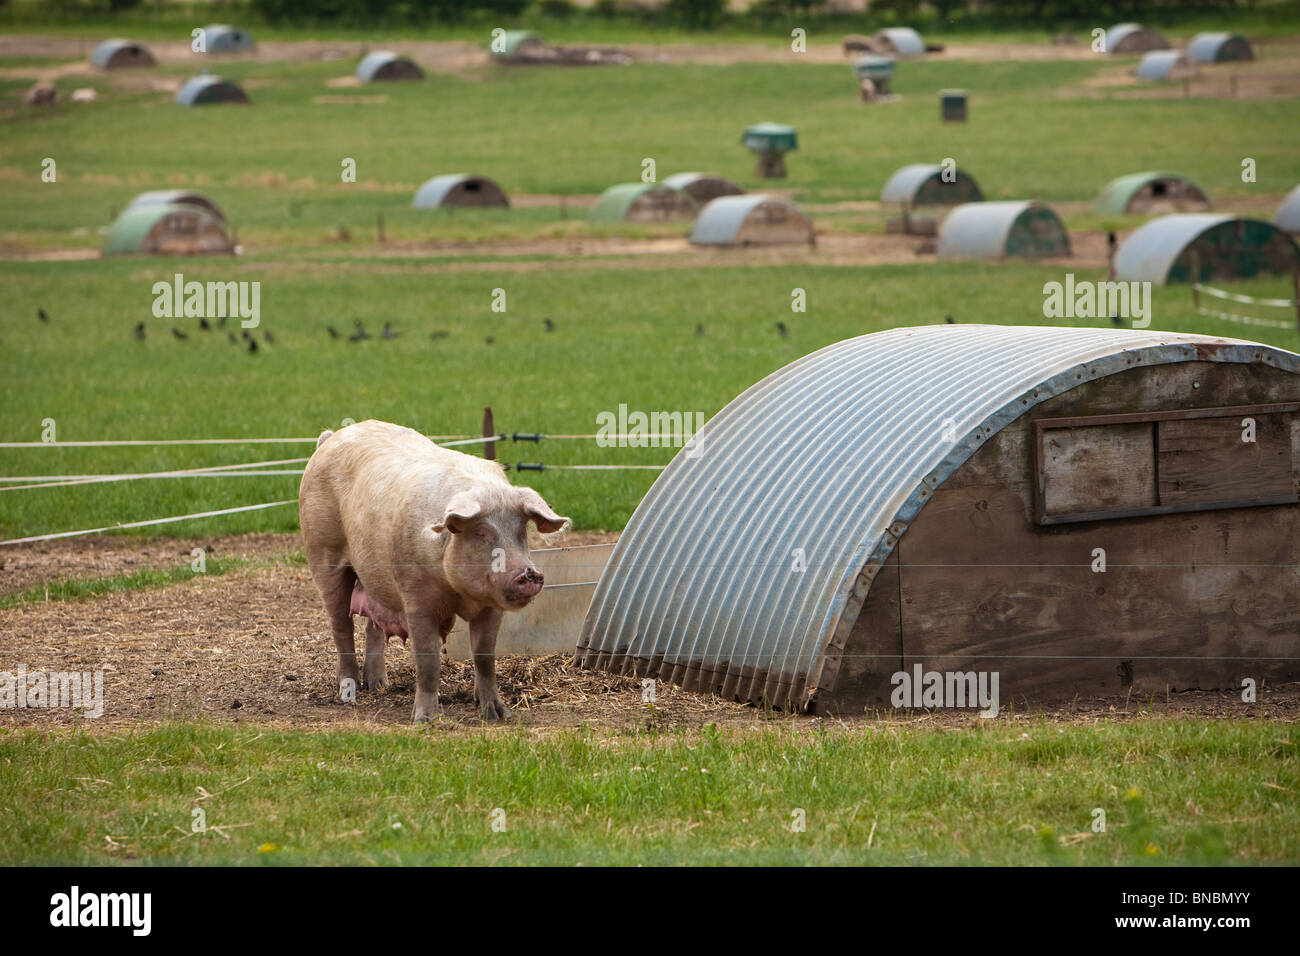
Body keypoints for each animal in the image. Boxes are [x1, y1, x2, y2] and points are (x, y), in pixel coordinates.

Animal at [306, 421, 572, 723]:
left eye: (521, 531)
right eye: (481, 533)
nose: (529, 574)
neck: (459, 593)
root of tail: (331, 438)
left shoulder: (491, 608)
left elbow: (485, 656)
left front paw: (497, 714)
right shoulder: (416, 598)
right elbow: (428, 660)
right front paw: (424, 719)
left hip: (375, 577)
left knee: (373, 625)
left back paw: (378, 685)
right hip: (324, 553)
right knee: (341, 625)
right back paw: (348, 691)